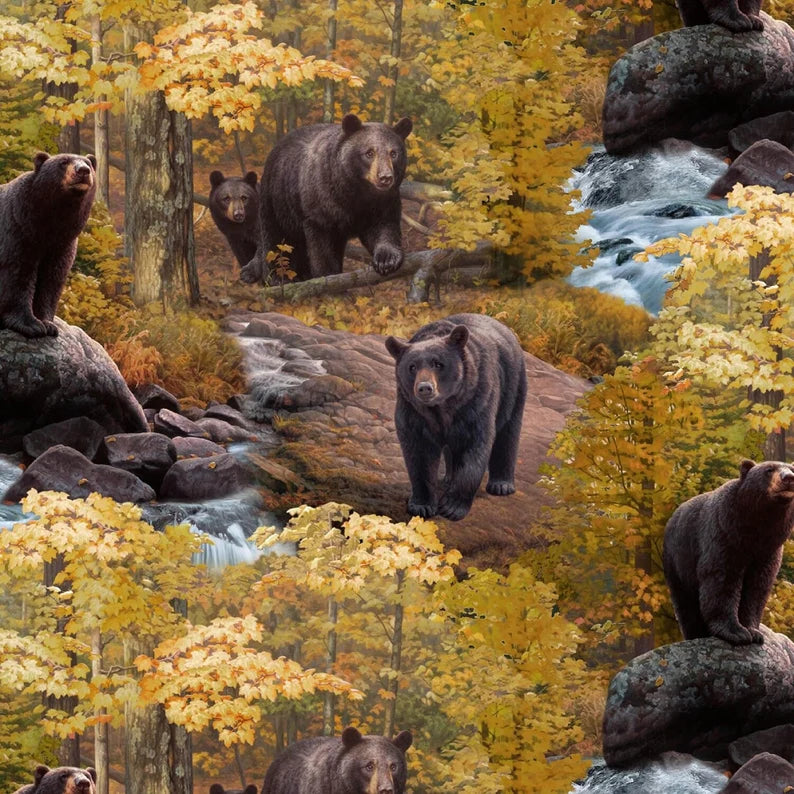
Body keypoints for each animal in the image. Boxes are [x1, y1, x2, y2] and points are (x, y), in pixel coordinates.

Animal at [0, 151, 96, 338]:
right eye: (63, 161)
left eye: (88, 162)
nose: (83, 170)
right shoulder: (17, 229)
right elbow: (17, 273)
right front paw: (31, 324)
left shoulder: (62, 244)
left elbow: (51, 279)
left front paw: (48, 324)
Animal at [240, 114, 412, 284]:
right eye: (369, 153)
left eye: (393, 153)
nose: (385, 177)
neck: (354, 192)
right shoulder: (320, 205)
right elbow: (321, 246)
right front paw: (328, 276)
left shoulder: (383, 203)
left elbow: (384, 227)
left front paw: (387, 260)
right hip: (276, 200)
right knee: (274, 238)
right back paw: (275, 277)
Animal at [385, 313, 527, 522]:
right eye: (412, 367)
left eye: (438, 364)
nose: (425, 388)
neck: (443, 406)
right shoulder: (412, 410)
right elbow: (418, 453)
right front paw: (421, 505)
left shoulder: (477, 400)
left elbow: (475, 447)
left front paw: (452, 507)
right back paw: (448, 478)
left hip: (513, 385)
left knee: (508, 432)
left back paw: (501, 485)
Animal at [663, 459, 794, 645]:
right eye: (769, 469)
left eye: (792, 468)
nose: (788, 477)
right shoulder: (723, 534)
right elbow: (722, 579)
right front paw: (736, 632)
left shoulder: (768, 550)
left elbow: (757, 587)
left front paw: (754, 632)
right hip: (678, 560)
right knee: (686, 604)